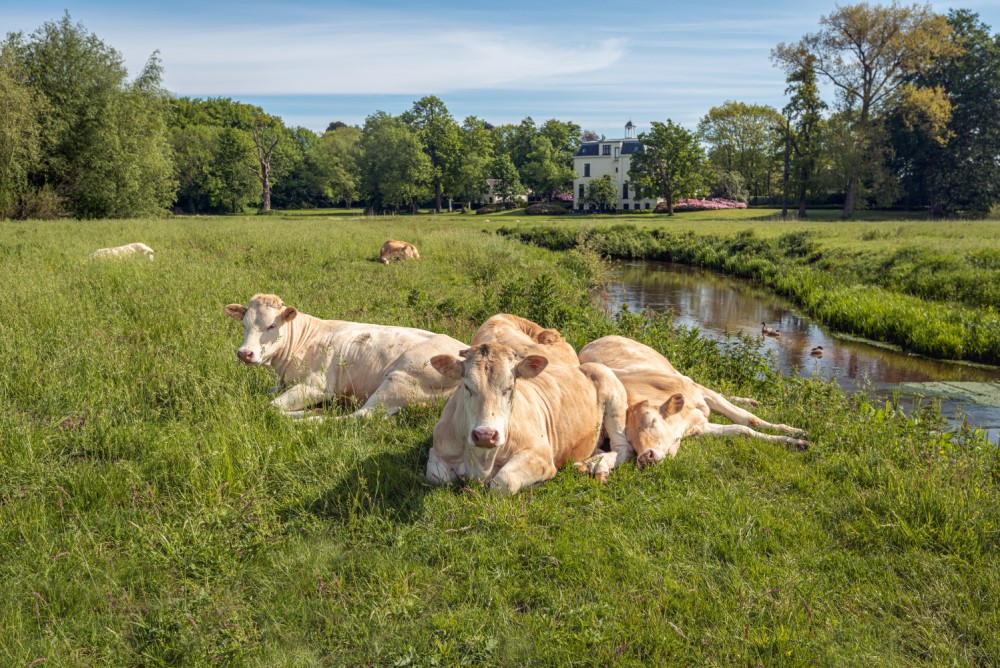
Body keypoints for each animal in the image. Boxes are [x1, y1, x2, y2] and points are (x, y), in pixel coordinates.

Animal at [224, 294, 467, 419]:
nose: (244, 353)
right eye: (244, 325)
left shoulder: (316, 385)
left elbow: (271, 407)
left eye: (271, 325)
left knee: (356, 416)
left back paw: (316, 415)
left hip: (398, 380)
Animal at [427, 342, 634, 495]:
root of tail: (582, 366)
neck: (482, 460)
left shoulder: (541, 454)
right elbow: (438, 477)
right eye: (467, 386)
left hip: (614, 397)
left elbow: (502, 482)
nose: (486, 435)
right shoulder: (439, 449)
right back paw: (586, 464)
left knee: (623, 448)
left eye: (510, 387)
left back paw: (598, 465)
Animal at [578, 335, 808, 467]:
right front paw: (793, 442)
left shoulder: (701, 393)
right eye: (630, 440)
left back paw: (749, 401)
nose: (645, 456)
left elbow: (749, 420)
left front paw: (795, 432)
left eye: (651, 421)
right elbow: (742, 430)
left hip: (677, 371)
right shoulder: (701, 426)